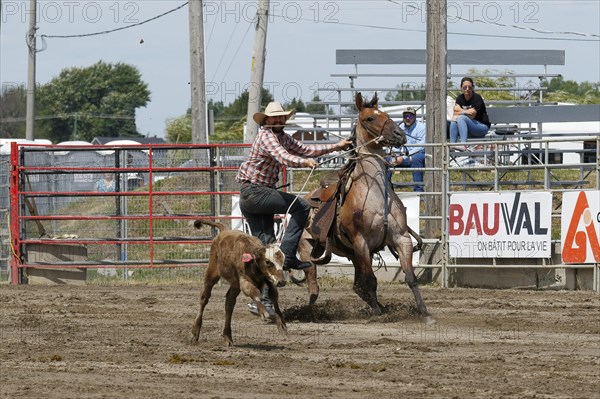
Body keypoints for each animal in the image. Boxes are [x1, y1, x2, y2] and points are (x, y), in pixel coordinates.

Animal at [302, 93, 434, 324]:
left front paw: (424, 312)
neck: (374, 194)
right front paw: (378, 315)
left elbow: (410, 277)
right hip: (308, 251)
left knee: (357, 286)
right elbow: (371, 280)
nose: (400, 134)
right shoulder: (361, 242)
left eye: (386, 114)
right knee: (314, 287)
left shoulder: (401, 238)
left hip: (353, 255)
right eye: (369, 118)